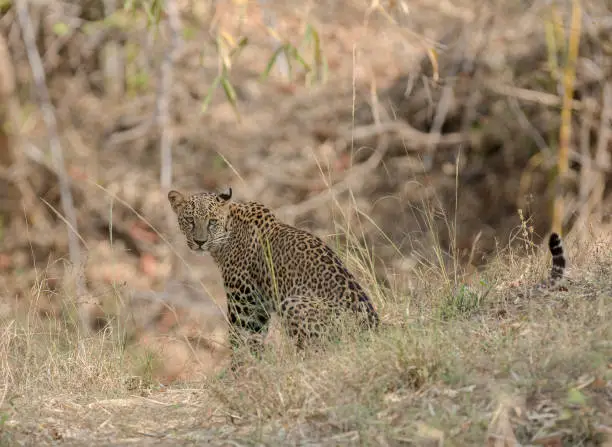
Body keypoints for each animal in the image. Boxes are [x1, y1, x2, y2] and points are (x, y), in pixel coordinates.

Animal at [166, 187, 378, 358]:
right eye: (190, 220)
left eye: (211, 221)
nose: (200, 241)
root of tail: (374, 328)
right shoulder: (258, 310)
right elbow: (254, 343)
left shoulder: (243, 307)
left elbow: (240, 342)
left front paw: (238, 376)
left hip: (293, 303)